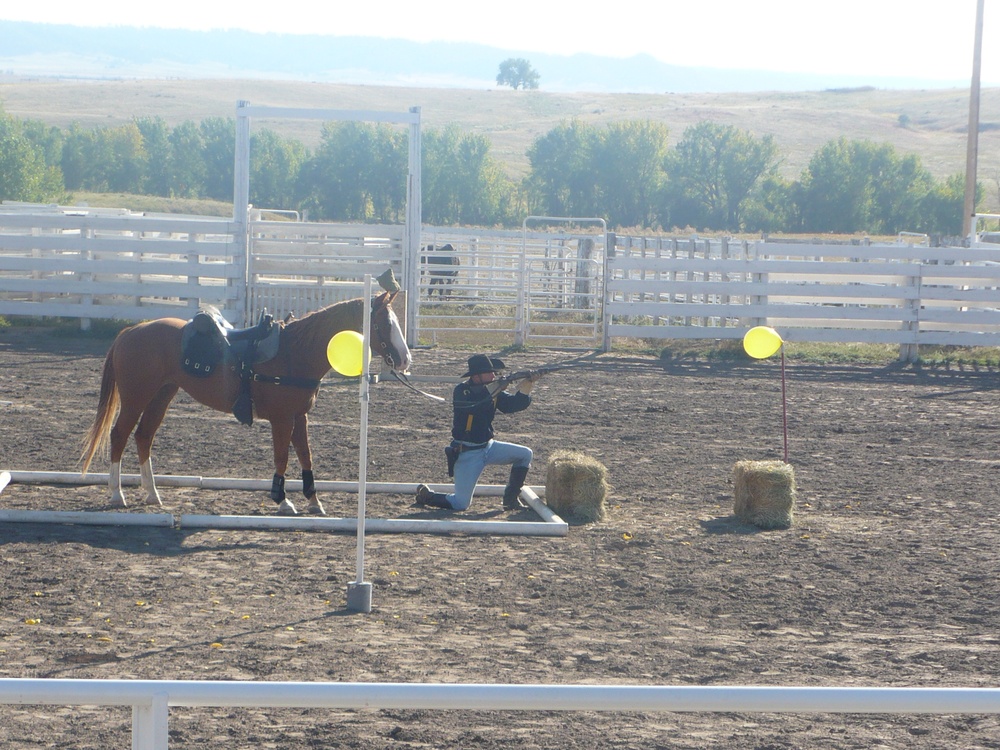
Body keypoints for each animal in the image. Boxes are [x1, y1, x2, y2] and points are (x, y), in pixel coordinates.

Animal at [80, 292, 410, 516]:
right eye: (384, 323)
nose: (406, 359)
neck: (296, 351)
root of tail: (130, 332)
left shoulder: (299, 416)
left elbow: (306, 457)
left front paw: (314, 500)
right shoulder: (282, 418)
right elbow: (282, 458)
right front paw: (282, 500)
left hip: (162, 394)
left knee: (143, 436)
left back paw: (152, 494)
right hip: (136, 397)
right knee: (119, 435)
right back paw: (116, 495)